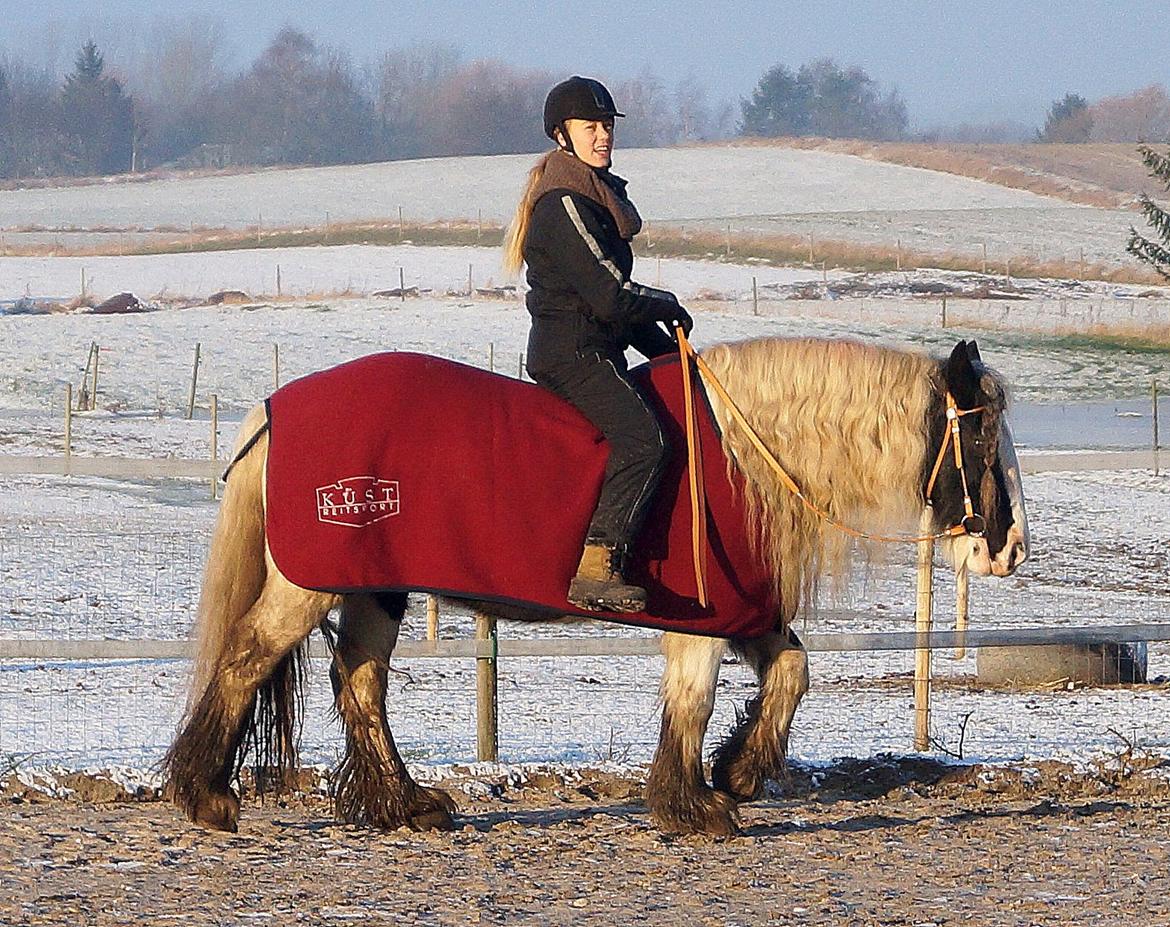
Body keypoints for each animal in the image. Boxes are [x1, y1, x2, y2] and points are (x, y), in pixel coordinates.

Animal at [162, 337, 1024, 838]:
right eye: (982, 435)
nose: (1010, 548)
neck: (741, 449)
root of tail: (273, 412)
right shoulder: (707, 611)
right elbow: (695, 697)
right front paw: (695, 806)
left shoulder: (746, 609)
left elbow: (790, 671)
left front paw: (736, 771)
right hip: (311, 583)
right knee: (247, 657)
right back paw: (205, 794)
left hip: (377, 585)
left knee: (360, 682)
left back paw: (405, 805)